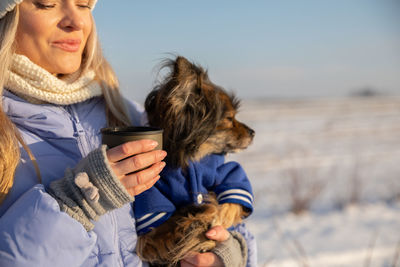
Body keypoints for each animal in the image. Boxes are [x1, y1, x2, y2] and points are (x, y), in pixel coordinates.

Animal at [133, 55, 255, 266]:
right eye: (229, 119)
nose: (253, 132)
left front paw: (215, 218)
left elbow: (231, 194)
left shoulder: (224, 172)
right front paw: (194, 223)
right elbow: (159, 230)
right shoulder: (151, 203)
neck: (191, 160)